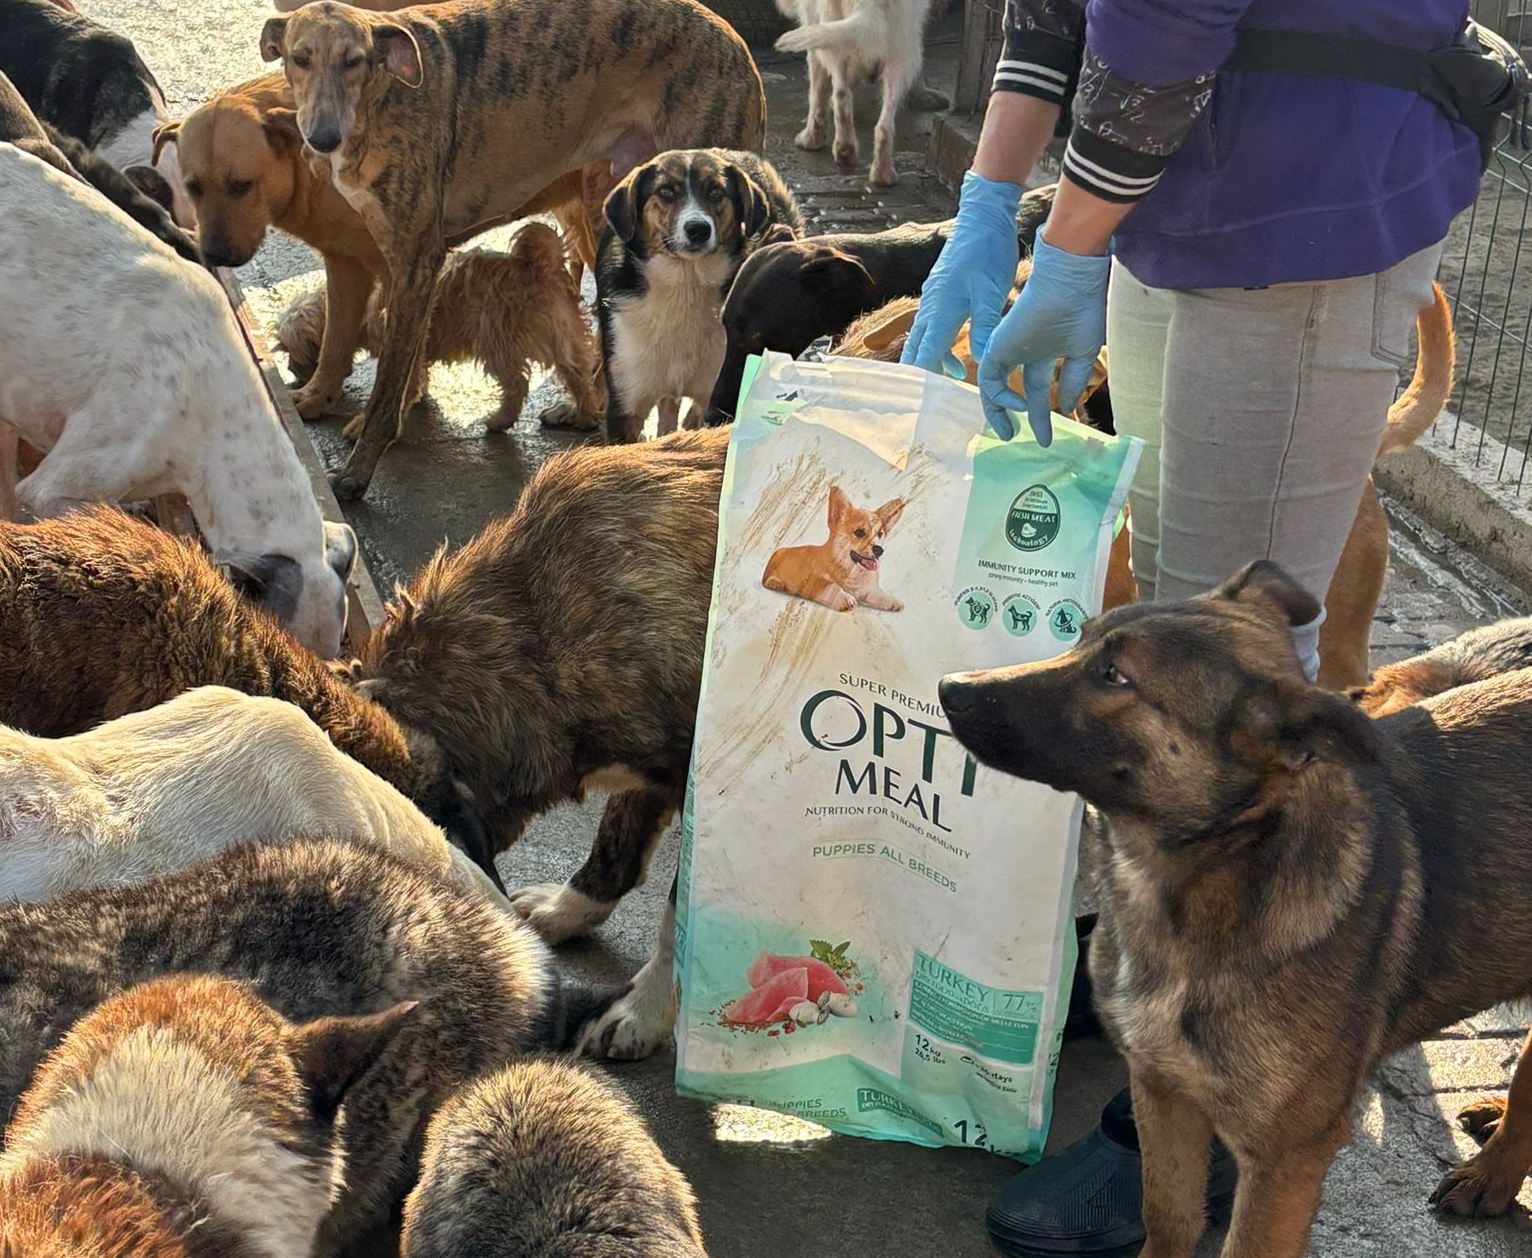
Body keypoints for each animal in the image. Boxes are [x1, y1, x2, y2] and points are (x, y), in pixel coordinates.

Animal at [278, 223, 603, 434]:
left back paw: (499, 420)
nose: (292, 372)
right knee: (578, 375)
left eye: (292, 351)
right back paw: (584, 414)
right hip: (564, 337)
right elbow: (420, 373)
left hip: (495, 339)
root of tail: (537, 266)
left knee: (515, 384)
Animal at [598, 148, 801, 442]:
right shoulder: (626, 405)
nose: (698, 229)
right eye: (666, 191)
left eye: (715, 191)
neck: (686, 285)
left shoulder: (718, 394)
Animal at [762, 485, 906, 612]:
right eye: (859, 532)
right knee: (766, 580)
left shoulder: (866, 591)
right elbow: (830, 586)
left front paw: (892, 600)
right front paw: (844, 598)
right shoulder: (815, 580)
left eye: (880, 534)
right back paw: (775, 583)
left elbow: (877, 595)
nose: (879, 550)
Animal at [775, 0, 937, 186]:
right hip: (902, 52)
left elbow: (818, 93)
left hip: (834, 42)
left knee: (841, 95)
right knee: (885, 125)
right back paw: (883, 174)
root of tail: (873, 3)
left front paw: (811, 139)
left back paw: (844, 149)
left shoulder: (814, 30)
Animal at [938, 562, 1532, 1253]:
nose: (949, 686)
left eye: (1114, 676)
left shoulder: (1284, 1160)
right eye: (1080, 637)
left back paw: (1491, 1174)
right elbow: (1168, 1217)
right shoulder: (1160, 1091)